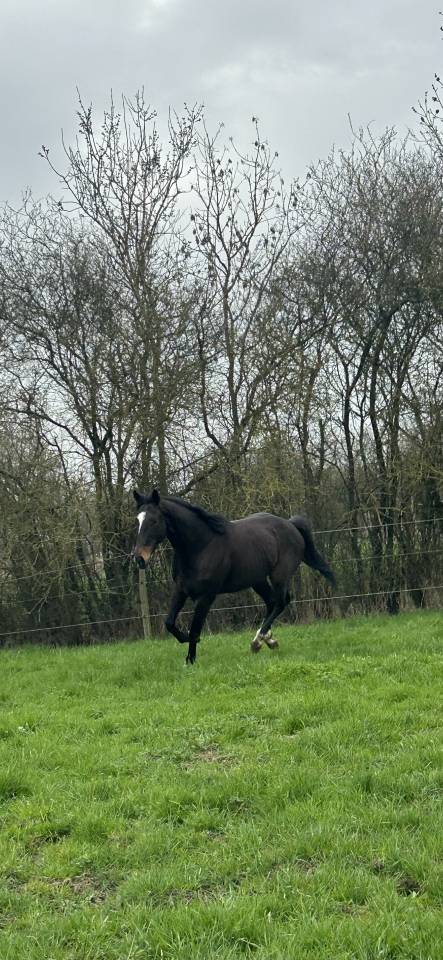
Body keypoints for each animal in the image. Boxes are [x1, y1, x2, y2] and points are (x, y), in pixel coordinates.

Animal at [132, 489, 336, 664]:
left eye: (154, 521)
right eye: (138, 520)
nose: (139, 558)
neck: (201, 546)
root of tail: (291, 525)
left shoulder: (206, 596)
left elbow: (195, 629)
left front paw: (190, 660)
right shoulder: (181, 590)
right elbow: (169, 623)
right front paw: (185, 643)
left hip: (279, 575)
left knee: (281, 602)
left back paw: (257, 641)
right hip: (257, 580)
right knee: (271, 602)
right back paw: (267, 640)